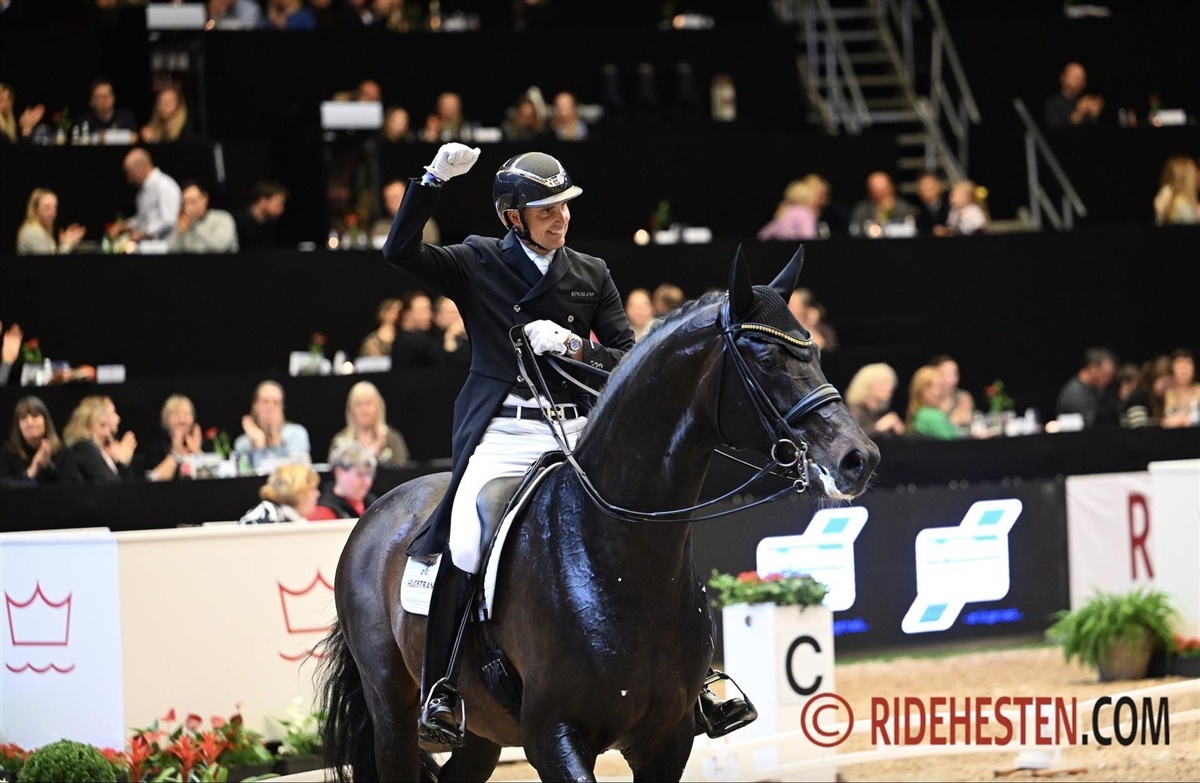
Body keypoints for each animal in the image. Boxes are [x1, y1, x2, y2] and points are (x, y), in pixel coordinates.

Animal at [316, 246, 880, 782]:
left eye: (814, 350)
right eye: (766, 361)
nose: (860, 459)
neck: (620, 554)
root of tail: (377, 512)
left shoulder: (668, 740)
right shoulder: (553, 737)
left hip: (483, 731)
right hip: (393, 708)